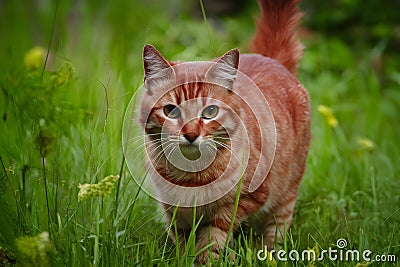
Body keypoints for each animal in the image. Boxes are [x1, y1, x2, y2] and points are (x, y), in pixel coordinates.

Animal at [139, 0, 310, 264]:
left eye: (210, 111)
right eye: (171, 111)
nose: (191, 134)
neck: (190, 176)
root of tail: (270, 59)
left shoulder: (245, 200)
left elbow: (213, 239)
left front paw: (207, 259)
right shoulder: (175, 212)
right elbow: (183, 243)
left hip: (286, 194)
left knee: (274, 235)